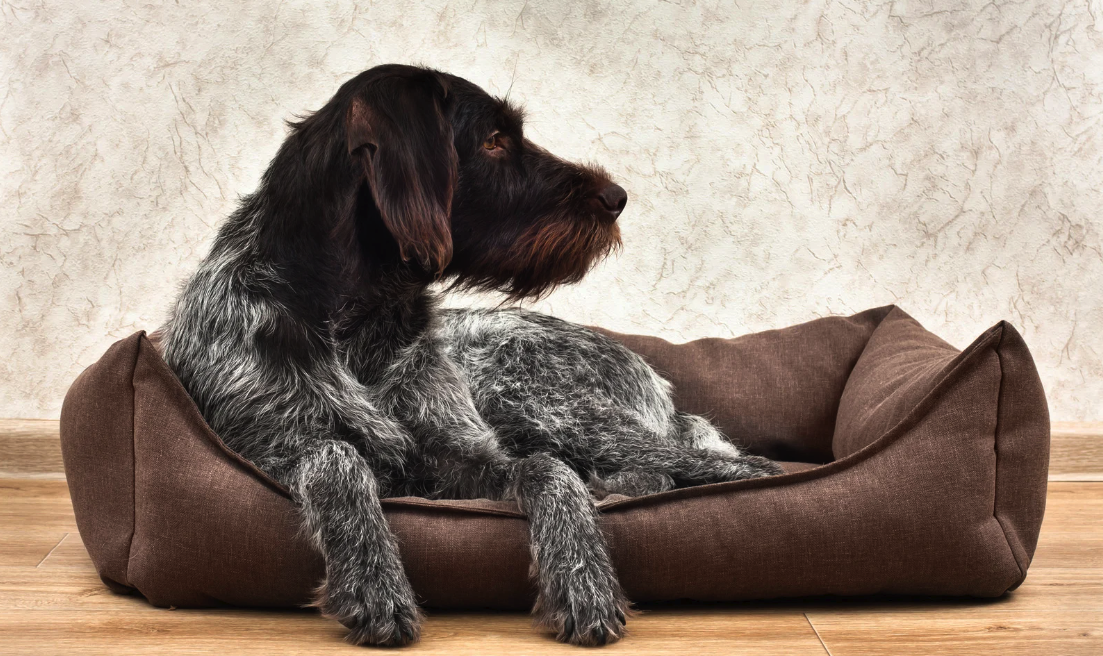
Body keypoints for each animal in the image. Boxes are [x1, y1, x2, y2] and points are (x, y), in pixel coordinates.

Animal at [161, 62, 785, 648]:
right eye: (493, 140)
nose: (617, 199)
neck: (360, 322)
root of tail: (652, 377)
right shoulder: (264, 447)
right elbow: (336, 456)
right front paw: (374, 582)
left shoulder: (464, 460)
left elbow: (548, 470)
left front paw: (584, 577)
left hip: (539, 404)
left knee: (727, 466)